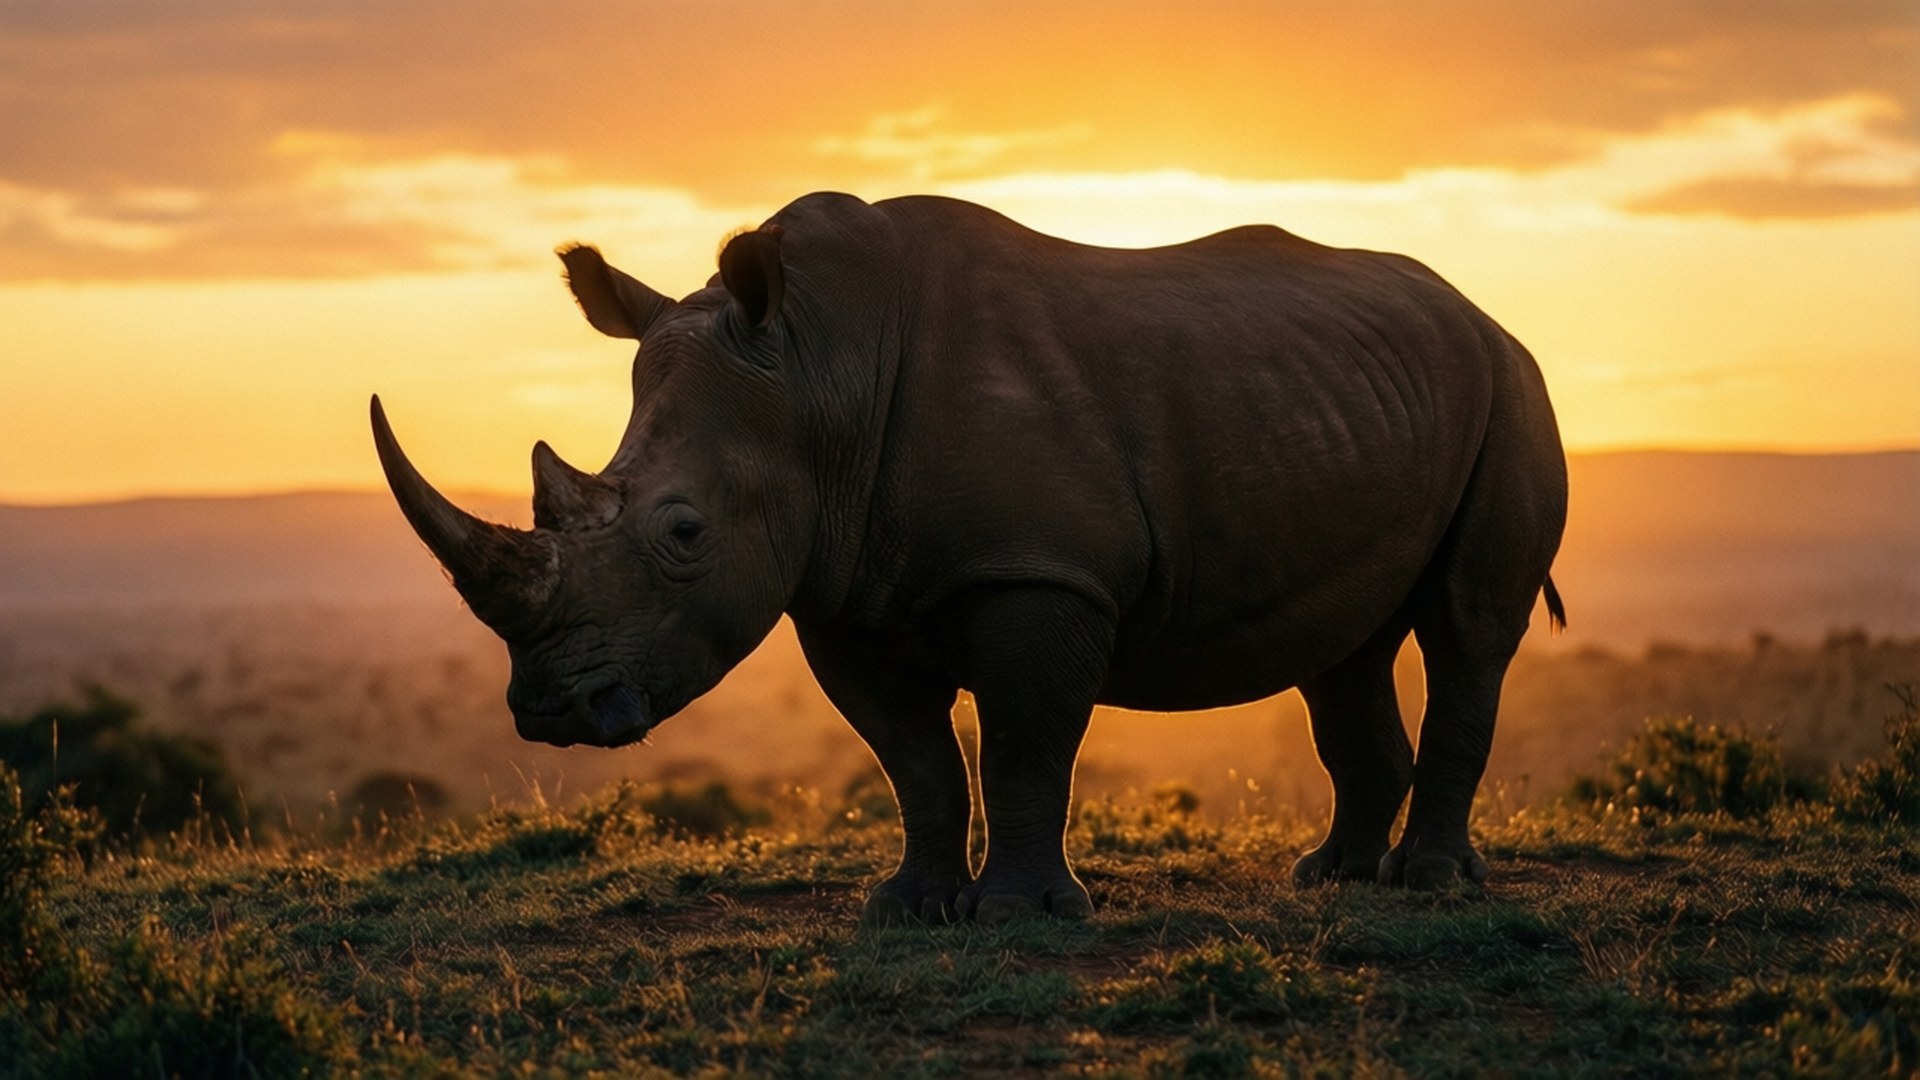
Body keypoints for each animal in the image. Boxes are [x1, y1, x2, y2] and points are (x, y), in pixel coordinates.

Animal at [371, 192, 1567, 925]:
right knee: (1343, 652)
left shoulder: (1038, 571)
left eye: (684, 535)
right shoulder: (842, 592)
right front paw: (908, 909)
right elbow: (916, 761)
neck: (816, 375)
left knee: (1468, 628)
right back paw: (1332, 881)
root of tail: (1479, 311)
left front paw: (1023, 917)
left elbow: (1027, 747)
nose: (550, 710)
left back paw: (1431, 886)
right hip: (1357, 401)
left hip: (1514, 385)